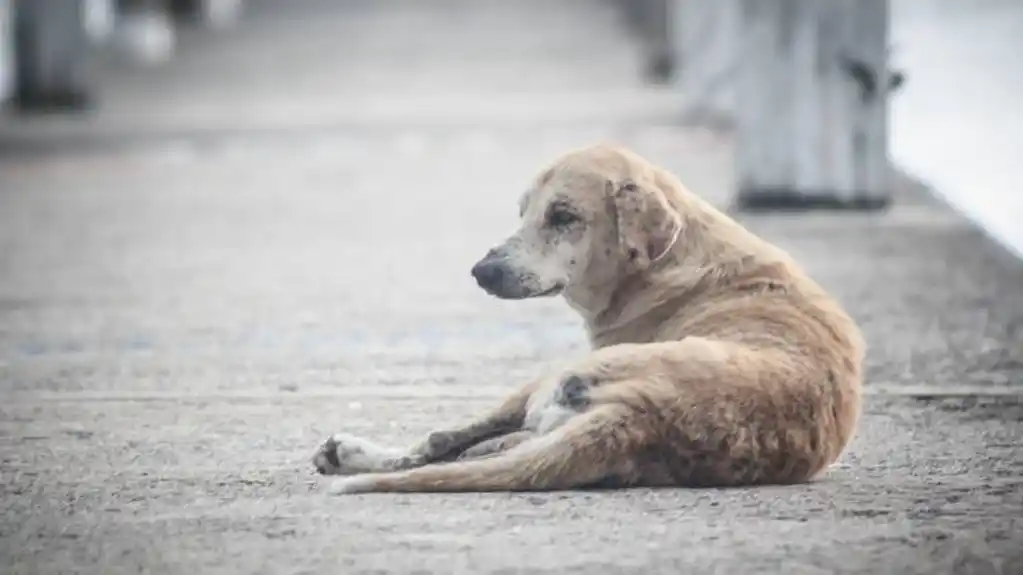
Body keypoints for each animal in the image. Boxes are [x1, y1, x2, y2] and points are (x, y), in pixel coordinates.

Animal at [308, 142, 863, 493]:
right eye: (524, 213)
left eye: (563, 217)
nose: (481, 271)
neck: (671, 259)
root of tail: (642, 415)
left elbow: (444, 438)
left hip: (551, 378)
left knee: (440, 444)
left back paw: (358, 454)